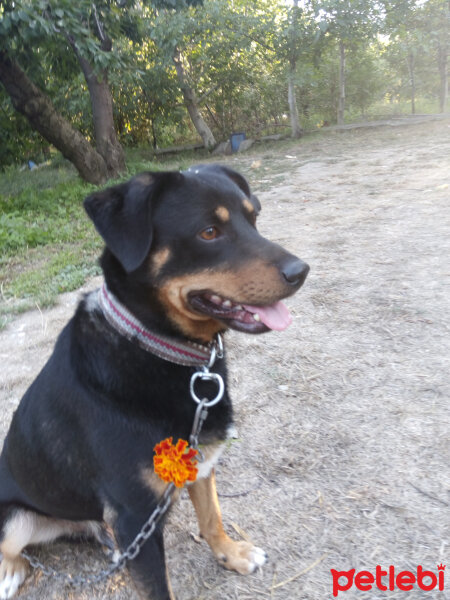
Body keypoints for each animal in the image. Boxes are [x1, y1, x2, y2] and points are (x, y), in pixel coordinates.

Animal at [0, 165, 308, 600]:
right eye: (208, 232)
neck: (154, 343)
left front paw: (231, 553)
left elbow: (211, 517)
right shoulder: (135, 516)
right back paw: (11, 571)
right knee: (11, 547)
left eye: (254, 217)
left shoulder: (198, 465)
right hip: (15, 518)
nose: (301, 272)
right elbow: (158, 585)